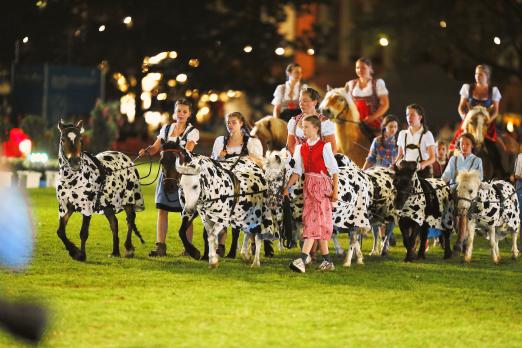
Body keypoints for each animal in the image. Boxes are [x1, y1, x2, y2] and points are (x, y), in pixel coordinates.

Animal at [55, 121, 144, 260]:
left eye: (80, 139)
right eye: (62, 140)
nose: (75, 162)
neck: (72, 179)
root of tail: (126, 157)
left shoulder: (86, 207)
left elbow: (83, 233)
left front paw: (81, 254)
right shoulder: (66, 206)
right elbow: (60, 231)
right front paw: (74, 251)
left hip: (128, 200)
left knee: (130, 220)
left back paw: (128, 248)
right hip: (107, 205)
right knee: (114, 223)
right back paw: (115, 251)